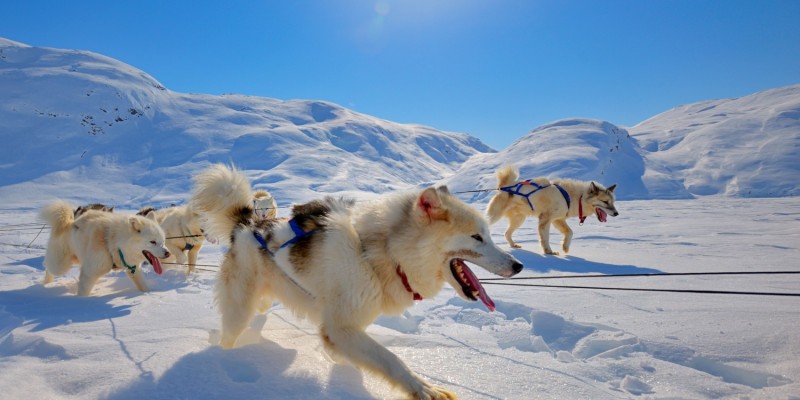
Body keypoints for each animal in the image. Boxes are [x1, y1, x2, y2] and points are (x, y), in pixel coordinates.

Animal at [39, 202, 170, 296]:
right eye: (152, 242)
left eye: (163, 241)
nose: (168, 253)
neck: (114, 244)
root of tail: (70, 222)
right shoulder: (88, 274)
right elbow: (83, 293)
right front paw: (80, 303)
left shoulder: (133, 270)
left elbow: (143, 286)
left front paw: (149, 294)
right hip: (60, 265)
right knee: (48, 267)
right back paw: (47, 283)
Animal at [191, 164, 520, 398]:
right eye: (476, 237)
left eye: (488, 234)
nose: (518, 265)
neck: (381, 255)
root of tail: (247, 223)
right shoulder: (341, 329)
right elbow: (390, 359)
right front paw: (424, 389)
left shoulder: (345, 329)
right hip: (239, 310)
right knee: (229, 336)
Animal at [484, 166, 620, 256]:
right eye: (605, 201)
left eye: (613, 202)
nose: (616, 213)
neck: (574, 197)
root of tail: (504, 188)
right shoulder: (545, 219)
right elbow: (545, 238)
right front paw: (548, 252)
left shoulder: (558, 219)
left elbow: (570, 232)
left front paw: (565, 247)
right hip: (495, 216)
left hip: (519, 220)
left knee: (507, 233)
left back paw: (513, 245)